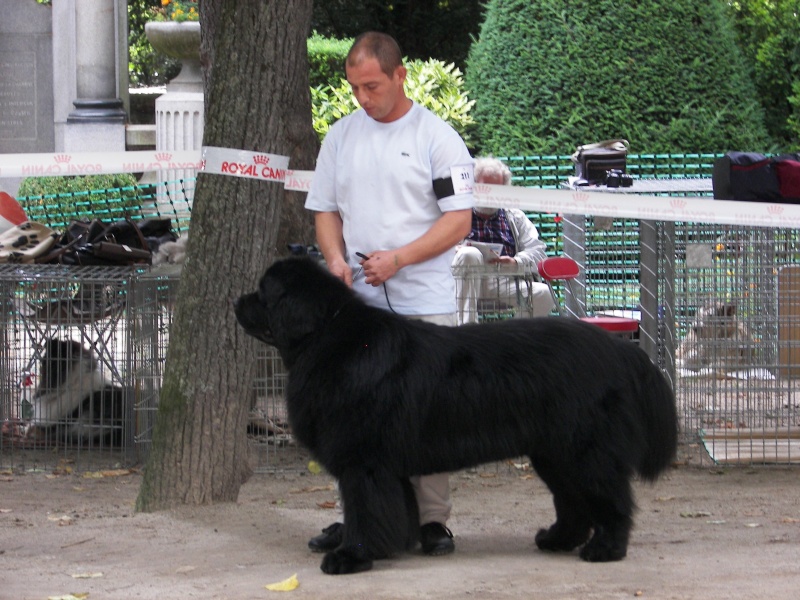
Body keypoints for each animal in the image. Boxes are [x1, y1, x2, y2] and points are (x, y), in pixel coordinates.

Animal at [234, 258, 680, 576]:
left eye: (263, 291)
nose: (236, 301)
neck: (328, 339)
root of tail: (619, 349)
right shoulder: (385, 465)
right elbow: (394, 510)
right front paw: (394, 544)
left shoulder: (363, 463)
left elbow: (365, 511)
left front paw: (352, 557)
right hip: (554, 453)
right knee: (573, 500)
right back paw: (556, 539)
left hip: (585, 449)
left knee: (610, 499)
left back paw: (604, 550)